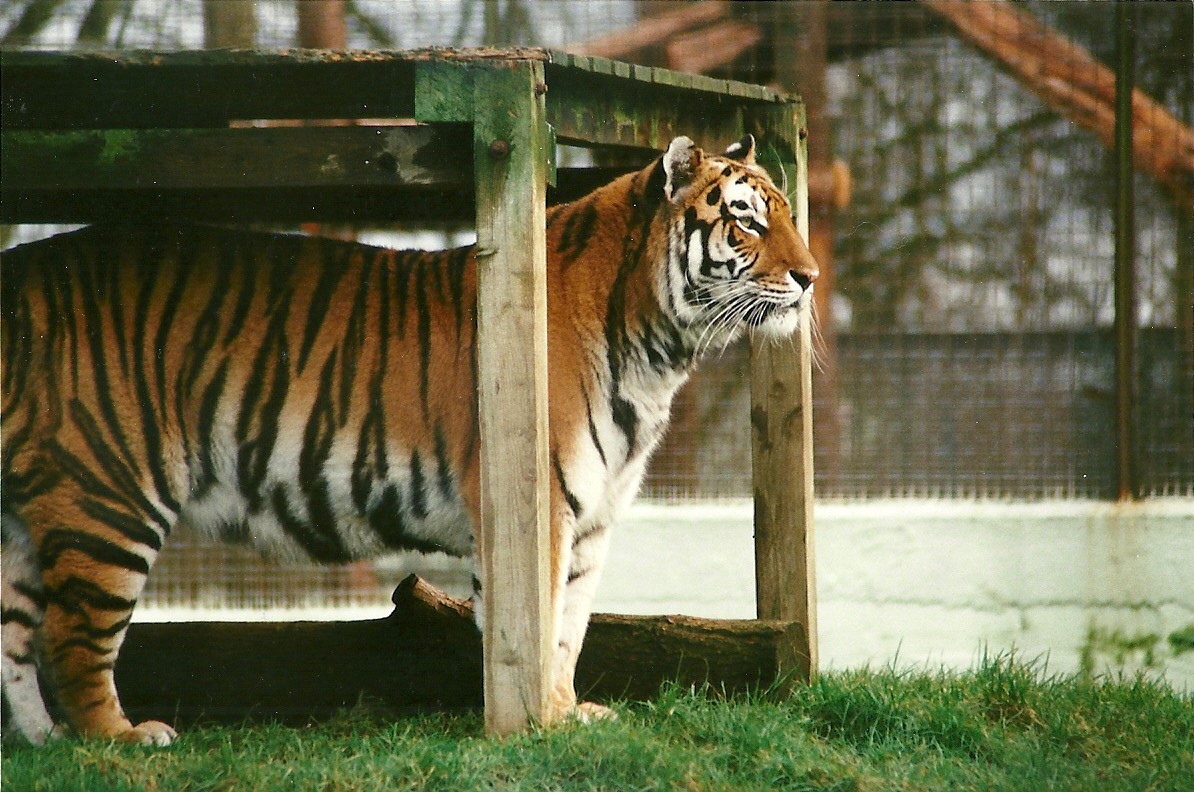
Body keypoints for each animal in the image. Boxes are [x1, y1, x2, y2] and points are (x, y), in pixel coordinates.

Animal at [0, 134, 817, 745]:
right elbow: (539, 620)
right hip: (105, 495)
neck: (658, 349)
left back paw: (45, 745)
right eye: (746, 219)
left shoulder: (590, 518)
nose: (811, 277)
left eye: (784, 214)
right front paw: (541, 726)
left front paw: (567, 712)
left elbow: (569, 628)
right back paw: (120, 740)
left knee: (14, 635)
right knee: (72, 637)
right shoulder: (541, 504)